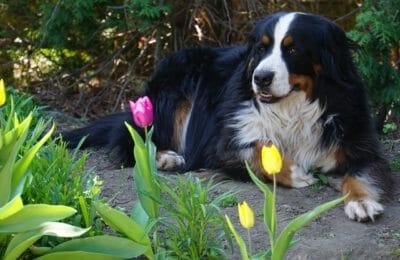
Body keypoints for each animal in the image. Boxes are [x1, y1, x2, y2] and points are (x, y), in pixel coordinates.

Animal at [63, 11, 394, 221]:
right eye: (261, 49)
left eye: (293, 49)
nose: (260, 78)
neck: (291, 108)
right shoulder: (220, 143)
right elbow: (257, 149)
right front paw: (295, 172)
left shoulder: (357, 141)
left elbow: (362, 174)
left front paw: (362, 202)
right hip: (176, 78)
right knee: (133, 141)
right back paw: (167, 157)